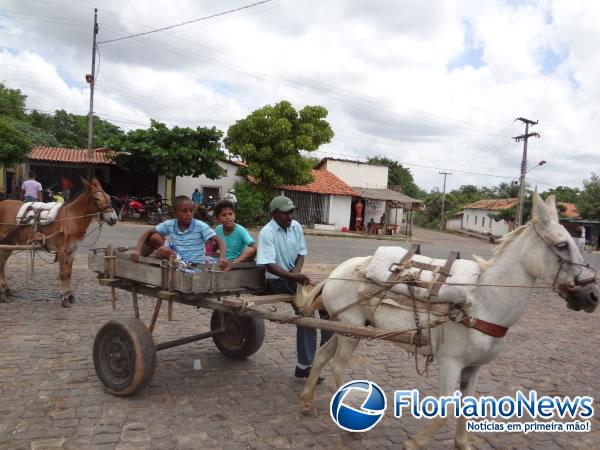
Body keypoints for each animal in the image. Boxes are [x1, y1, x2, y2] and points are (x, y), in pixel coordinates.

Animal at [0, 178, 117, 308]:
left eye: (109, 197)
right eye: (97, 198)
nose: (113, 219)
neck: (70, 219)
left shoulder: (72, 251)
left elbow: (69, 273)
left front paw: (70, 296)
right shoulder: (61, 251)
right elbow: (63, 273)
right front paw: (64, 298)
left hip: (9, 244)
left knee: (2, 264)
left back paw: (6, 290)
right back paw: (3, 294)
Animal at [294, 194, 596, 450]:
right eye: (561, 245)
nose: (592, 295)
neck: (483, 302)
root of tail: (336, 272)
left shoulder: (474, 367)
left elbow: (469, 405)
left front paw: (462, 443)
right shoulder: (451, 362)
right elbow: (447, 407)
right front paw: (414, 443)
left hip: (347, 327)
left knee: (322, 355)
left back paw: (307, 402)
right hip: (350, 332)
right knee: (337, 365)